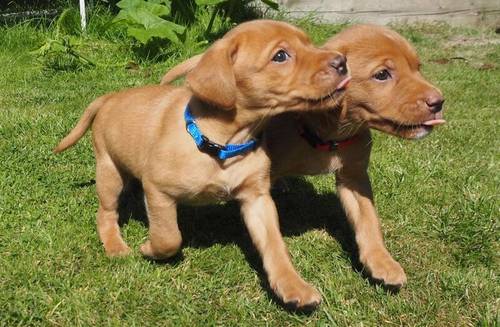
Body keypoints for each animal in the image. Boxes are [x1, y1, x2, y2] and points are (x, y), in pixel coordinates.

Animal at [54, 19, 350, 310]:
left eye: (310, 42)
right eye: (280, 56)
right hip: (109, 171)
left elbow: (275, 246)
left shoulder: (257, 198)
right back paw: (115, 245)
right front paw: (148, 249)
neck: (224, 145)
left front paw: (293, 286)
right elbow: (168, 237)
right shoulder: (158, 191)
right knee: (105, 213)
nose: (342, 62)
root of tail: (109, 97)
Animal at [160, 23, 446, 290]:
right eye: (382, 74)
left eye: (418, 67)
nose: (439, 102)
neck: (326, 134)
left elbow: (368, 220)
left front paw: (381, 262)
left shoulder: (354, 176)